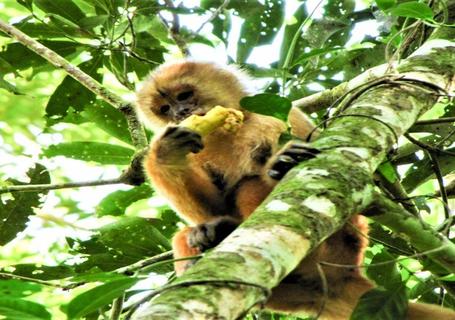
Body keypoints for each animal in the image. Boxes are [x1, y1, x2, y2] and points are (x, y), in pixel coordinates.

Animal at [136, 60, 455, 320]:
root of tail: (344, 278)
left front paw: (281, 162)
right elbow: (213, 207)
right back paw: (212, 236)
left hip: (342, 246)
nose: (181, 112)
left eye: (183, 96)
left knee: (250, 186)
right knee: (189, 234)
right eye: (165, 109)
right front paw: (166, 155)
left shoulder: (280, 115)